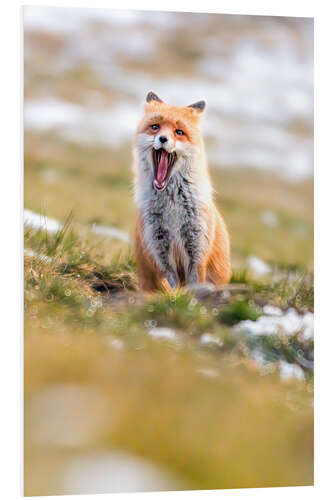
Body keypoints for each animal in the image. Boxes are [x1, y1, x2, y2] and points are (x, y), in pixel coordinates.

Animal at [132, 92, 231, 292]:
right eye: (155, 127)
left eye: (179, 132)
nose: (163, 139)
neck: (172, 207)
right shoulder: (158, 248)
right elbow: (173, 285)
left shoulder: (197, 247)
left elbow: (195, 284)